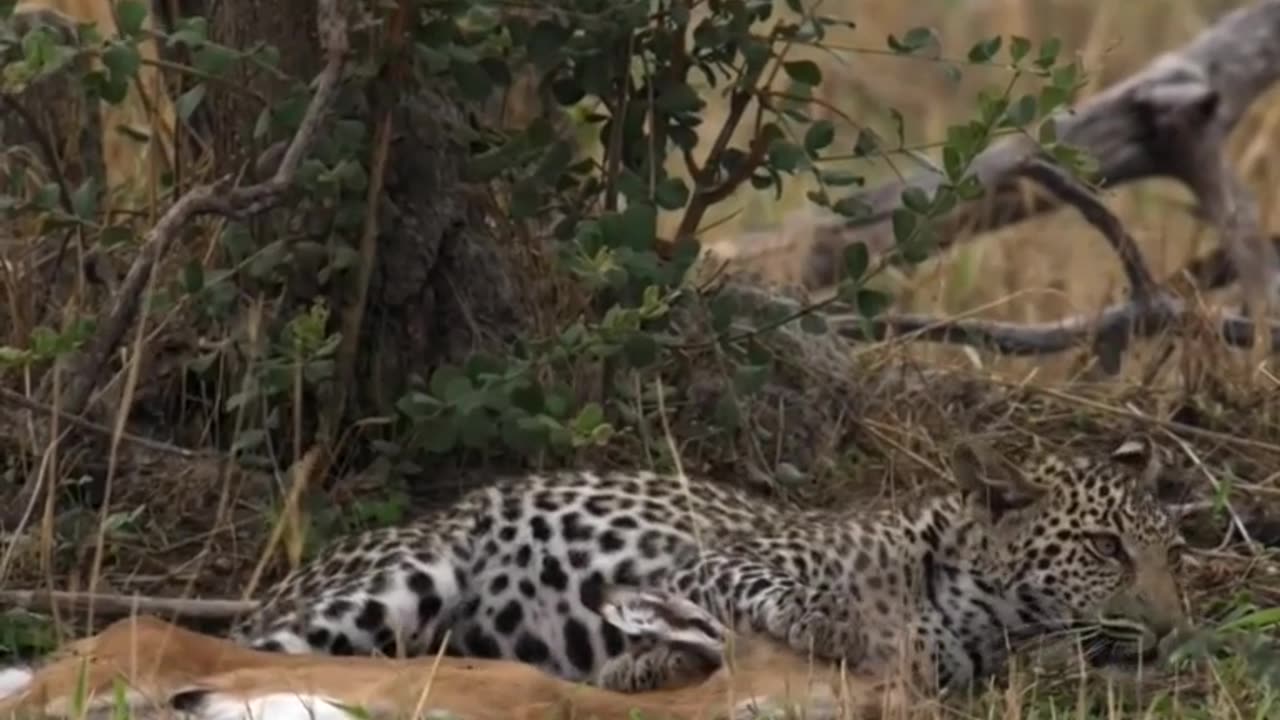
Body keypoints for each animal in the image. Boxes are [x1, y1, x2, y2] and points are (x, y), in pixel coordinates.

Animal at [232, 435, 1187, 691]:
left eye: (1170, 555)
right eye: (1105, 548)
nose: (1176, 629)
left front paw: (640, 670)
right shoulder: (713, 564)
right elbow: (784, 597)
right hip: (404, 576)